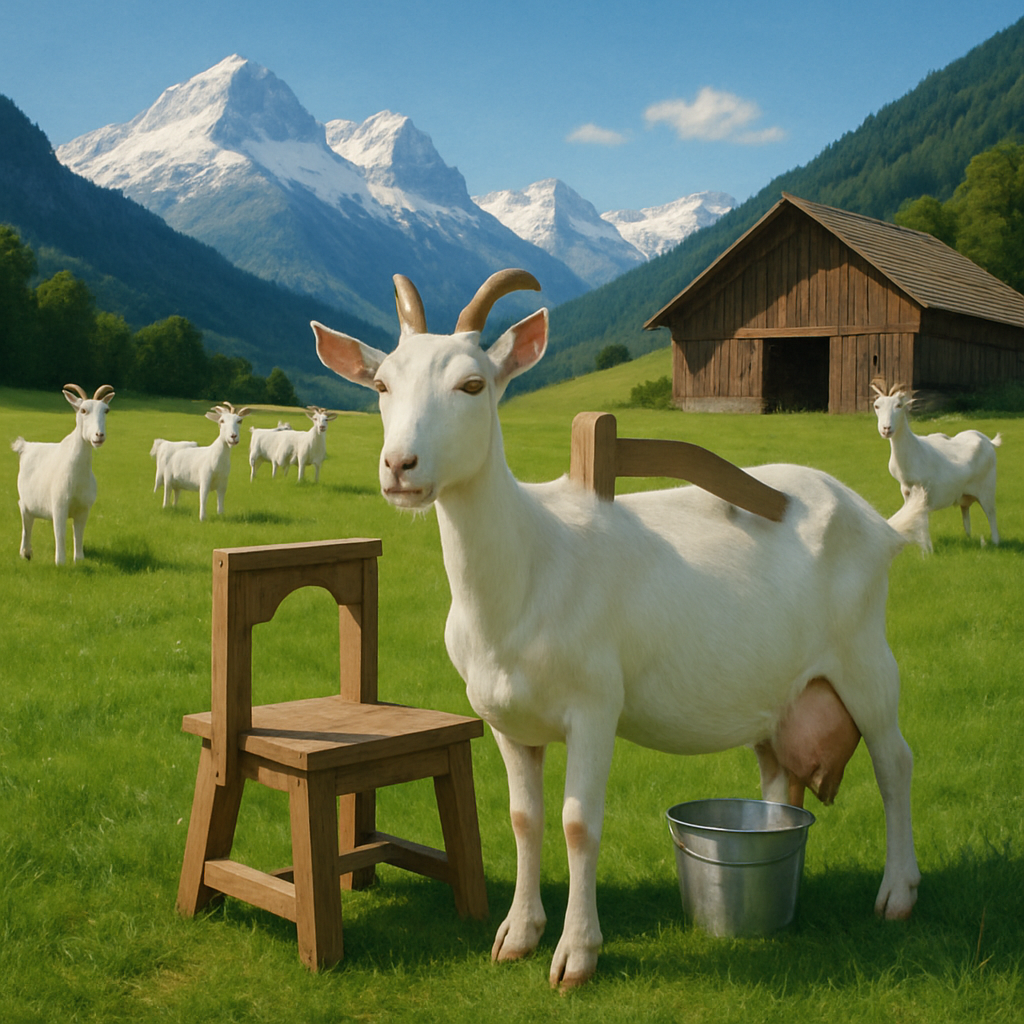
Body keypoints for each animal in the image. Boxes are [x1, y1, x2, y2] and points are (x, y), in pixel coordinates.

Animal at [11, 384, 114, 564]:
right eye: (83, 410)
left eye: (106, 410)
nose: (99, 435)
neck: (77, 474)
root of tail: (25, 446)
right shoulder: (59, 505)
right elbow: (60, 533)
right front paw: (60, 562)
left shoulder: (84, 508)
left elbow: (78, 534)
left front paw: (78, 560)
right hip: (24, 500)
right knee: (26, 521)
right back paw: (26, 552)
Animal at [311, 271, 926, 989]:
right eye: (382, 385)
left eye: (472, 385)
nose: (400, 466)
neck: (531, 568)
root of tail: (880, 525)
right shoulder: (503, 717)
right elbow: (524, 819)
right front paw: (517, 934)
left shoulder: (595, 703)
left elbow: (578, 823)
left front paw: (576, 955)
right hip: (781, 691)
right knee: (780, 774)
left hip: (865, 657)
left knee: (895, 761)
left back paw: (898, 893)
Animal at [871, 382, 1001, 552]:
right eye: (877, 406)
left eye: (899, 405)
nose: (886, 429)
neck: (915, 449)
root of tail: (988, 441)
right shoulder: (906, 492)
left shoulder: (924, 491)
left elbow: (922, 519)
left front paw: (928, 551)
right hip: (964, 495)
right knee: (965, 512)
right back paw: (968, 537)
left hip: (987, 488)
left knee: (991, 513)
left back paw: (996, 541)